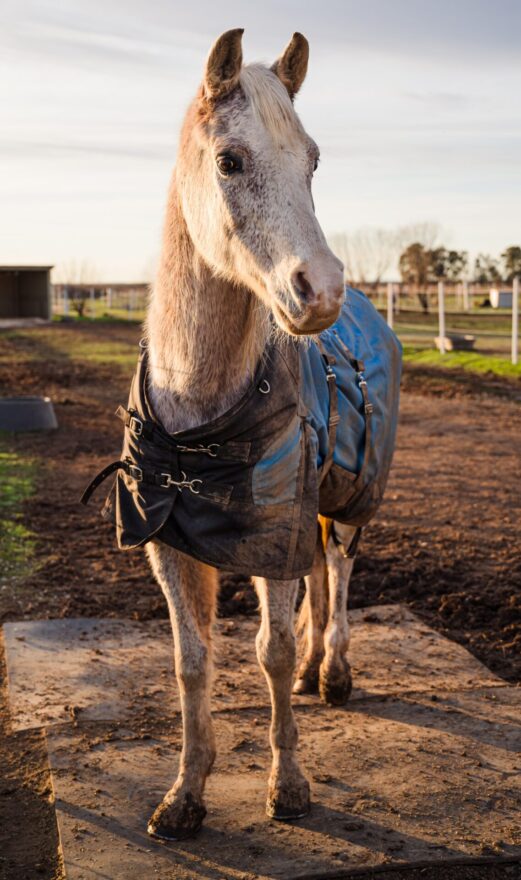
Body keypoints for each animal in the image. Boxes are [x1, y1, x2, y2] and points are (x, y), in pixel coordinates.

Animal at [138, 27, 366, 840]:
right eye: (230, 161)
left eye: (313, 161)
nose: (321, 291)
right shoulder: (167, 541)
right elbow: (192, 661)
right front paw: (183, 793)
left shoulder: (275, 532)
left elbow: (270, 648)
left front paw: (288, 785)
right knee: (322, 576)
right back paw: (316, 673)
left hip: (348, 504)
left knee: (340, 569)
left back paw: (332, 671)